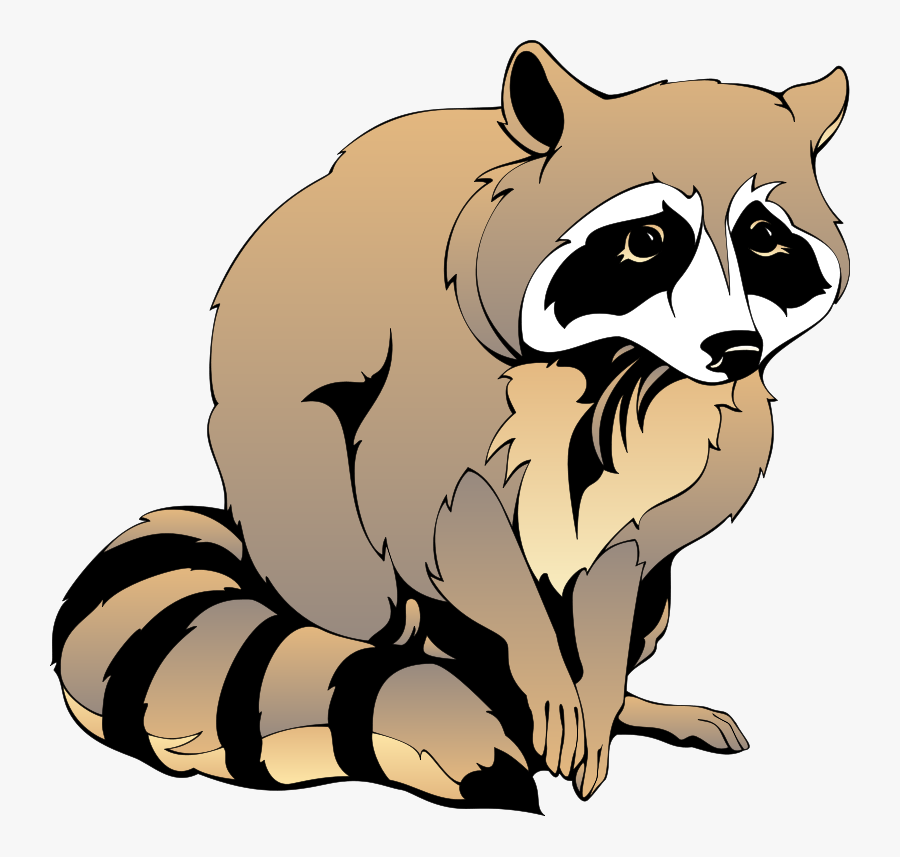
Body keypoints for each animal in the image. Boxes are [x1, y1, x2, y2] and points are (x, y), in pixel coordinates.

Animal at [53, 42, 849, 813]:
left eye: (762, 239)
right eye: (647, 239)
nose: (738, 351)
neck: (614, 365)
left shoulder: (685, 433)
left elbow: (621, 553)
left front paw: (596, 692)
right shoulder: (432, 378)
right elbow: (445, 521)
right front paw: (543, 665)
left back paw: (622, 701)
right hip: (298, 505)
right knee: (350, 555)